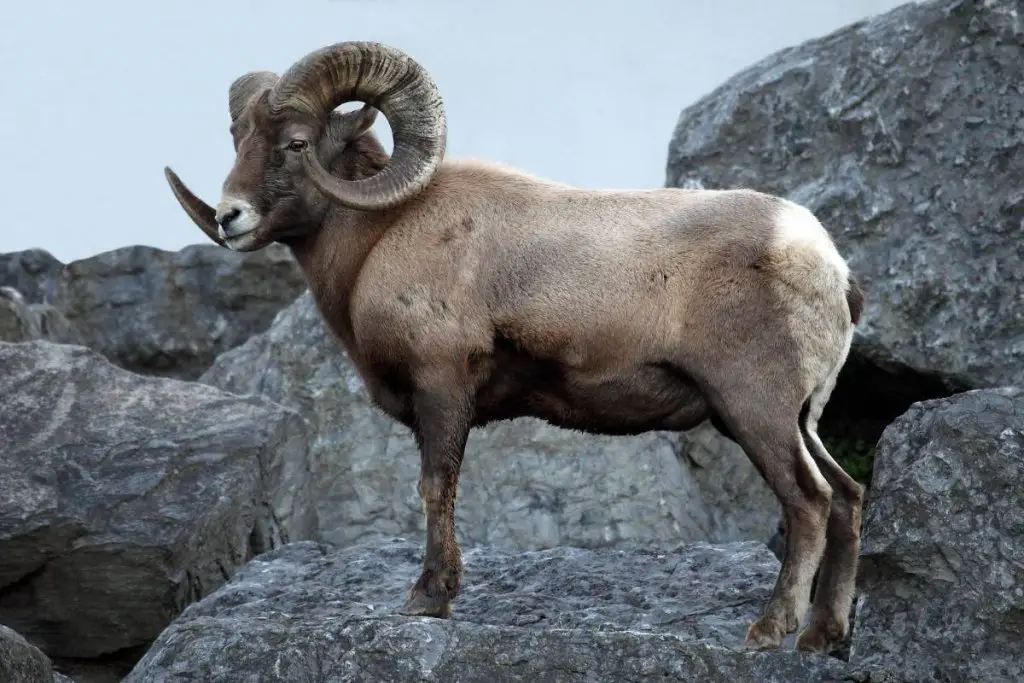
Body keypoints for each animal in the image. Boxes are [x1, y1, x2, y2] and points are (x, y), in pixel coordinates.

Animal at [165, 40, 864, 655]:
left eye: (297, 144)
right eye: (240, 140)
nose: (230, 217)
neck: (380, 238)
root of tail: (826, 264)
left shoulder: (443, 389)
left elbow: (436, 487)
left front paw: (428, 599)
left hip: (756, 412)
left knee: (810, 502)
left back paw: (769, 631)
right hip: (797, 421)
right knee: (848, 498)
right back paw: (822, 638)